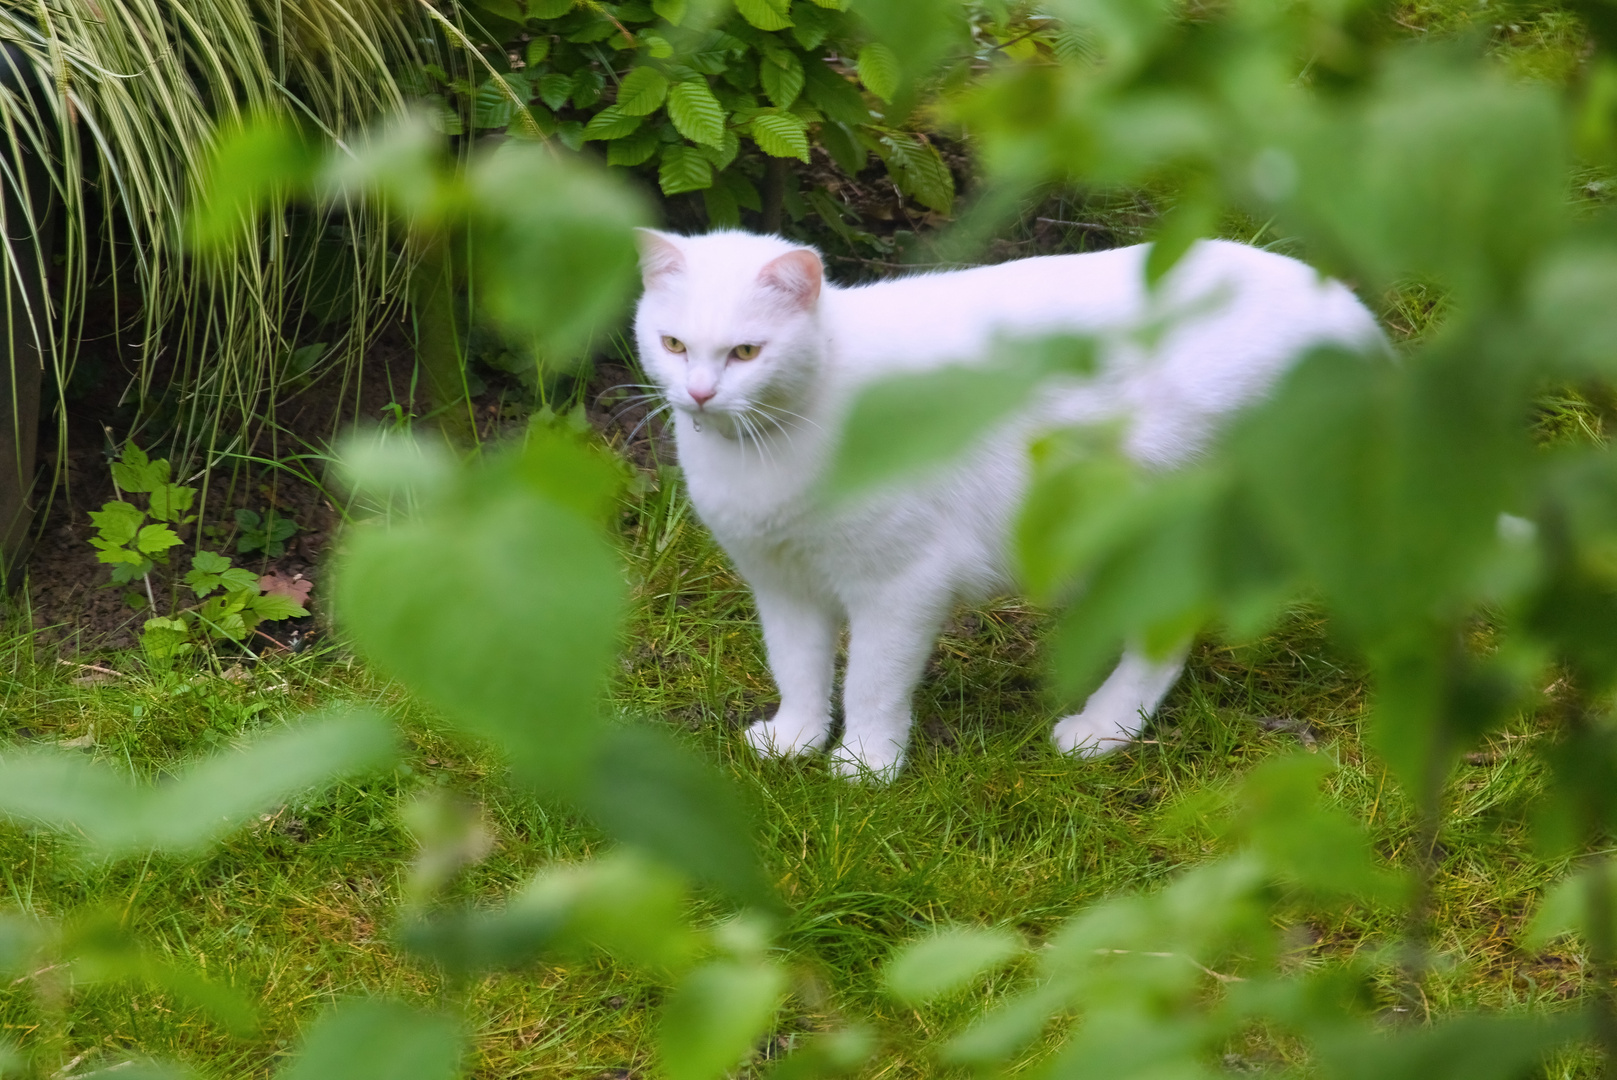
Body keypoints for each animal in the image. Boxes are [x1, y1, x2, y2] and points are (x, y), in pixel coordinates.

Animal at [630, 232, 1377, 779]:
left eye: (745, 352)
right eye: (673, 344)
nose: (699, 394)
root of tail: (1350, 315)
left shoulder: (900, 585)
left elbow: (871, 684)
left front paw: (866, 766)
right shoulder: (782, 585)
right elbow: (798, 669)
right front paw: (795, 740)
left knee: (1163, 643)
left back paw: (1100, 730)